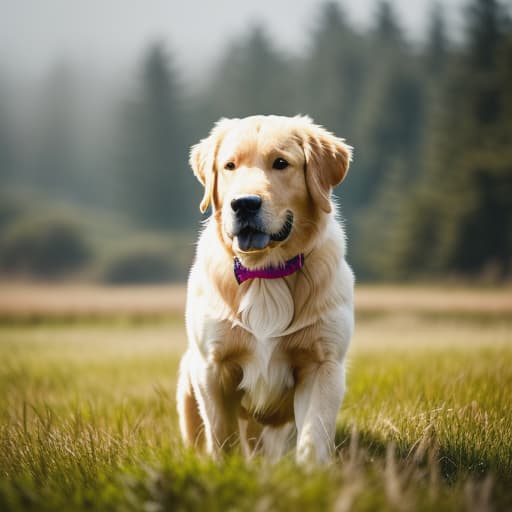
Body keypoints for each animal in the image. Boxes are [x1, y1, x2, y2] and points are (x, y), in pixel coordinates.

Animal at [175, 115, 352, 464]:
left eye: (281, 163)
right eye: (229, 165)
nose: (244, 204)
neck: (264, 273)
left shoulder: (322, 363)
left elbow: (313, 434)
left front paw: (312, 473)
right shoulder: (212, 367)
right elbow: (223, 435)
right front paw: (226, 469)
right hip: (187, 378)